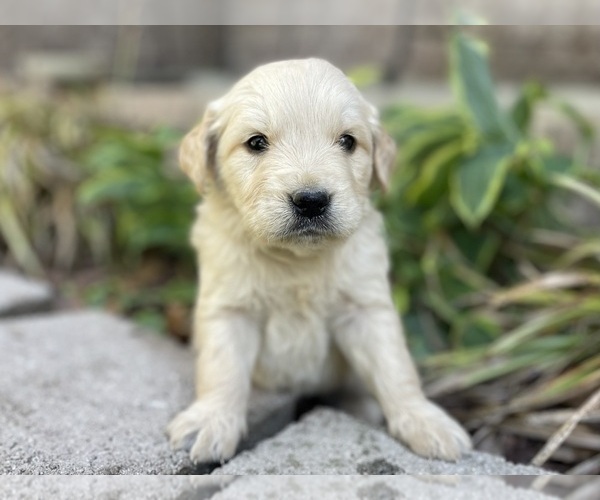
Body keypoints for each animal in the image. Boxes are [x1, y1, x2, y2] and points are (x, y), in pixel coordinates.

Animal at [166, 58, 472, 464]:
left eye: (348, 141)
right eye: (256, 142)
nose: (311, 200)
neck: (297, 259)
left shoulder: (365, 308)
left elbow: (395, 368)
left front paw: (424, 420)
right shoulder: (228, 308)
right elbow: (222, 368)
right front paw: (211, 421)